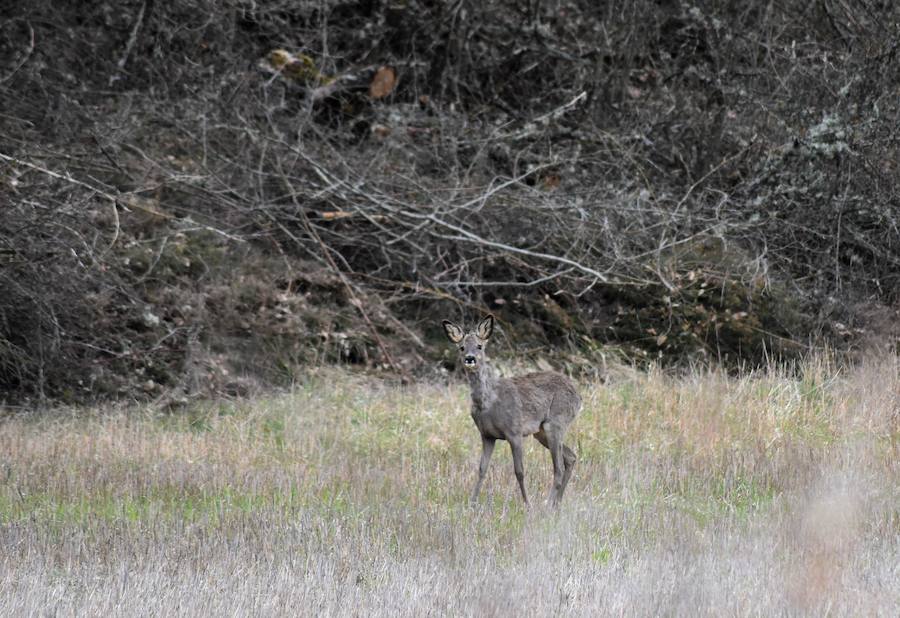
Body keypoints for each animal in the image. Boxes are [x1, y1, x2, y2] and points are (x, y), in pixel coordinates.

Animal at [442, 312, 584, 506]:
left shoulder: (514, 431)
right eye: (461, 347)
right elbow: (482, 469)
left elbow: (519, 471)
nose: (470, 358)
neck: (488, 402)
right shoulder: (487, 435)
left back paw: (547, 504)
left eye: (479, 346)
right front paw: (472, 503)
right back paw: (556, 504)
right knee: (571, 457)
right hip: (540, 432)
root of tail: (578, 396)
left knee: (559, 467)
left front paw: (527, 504)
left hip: (556, 422)